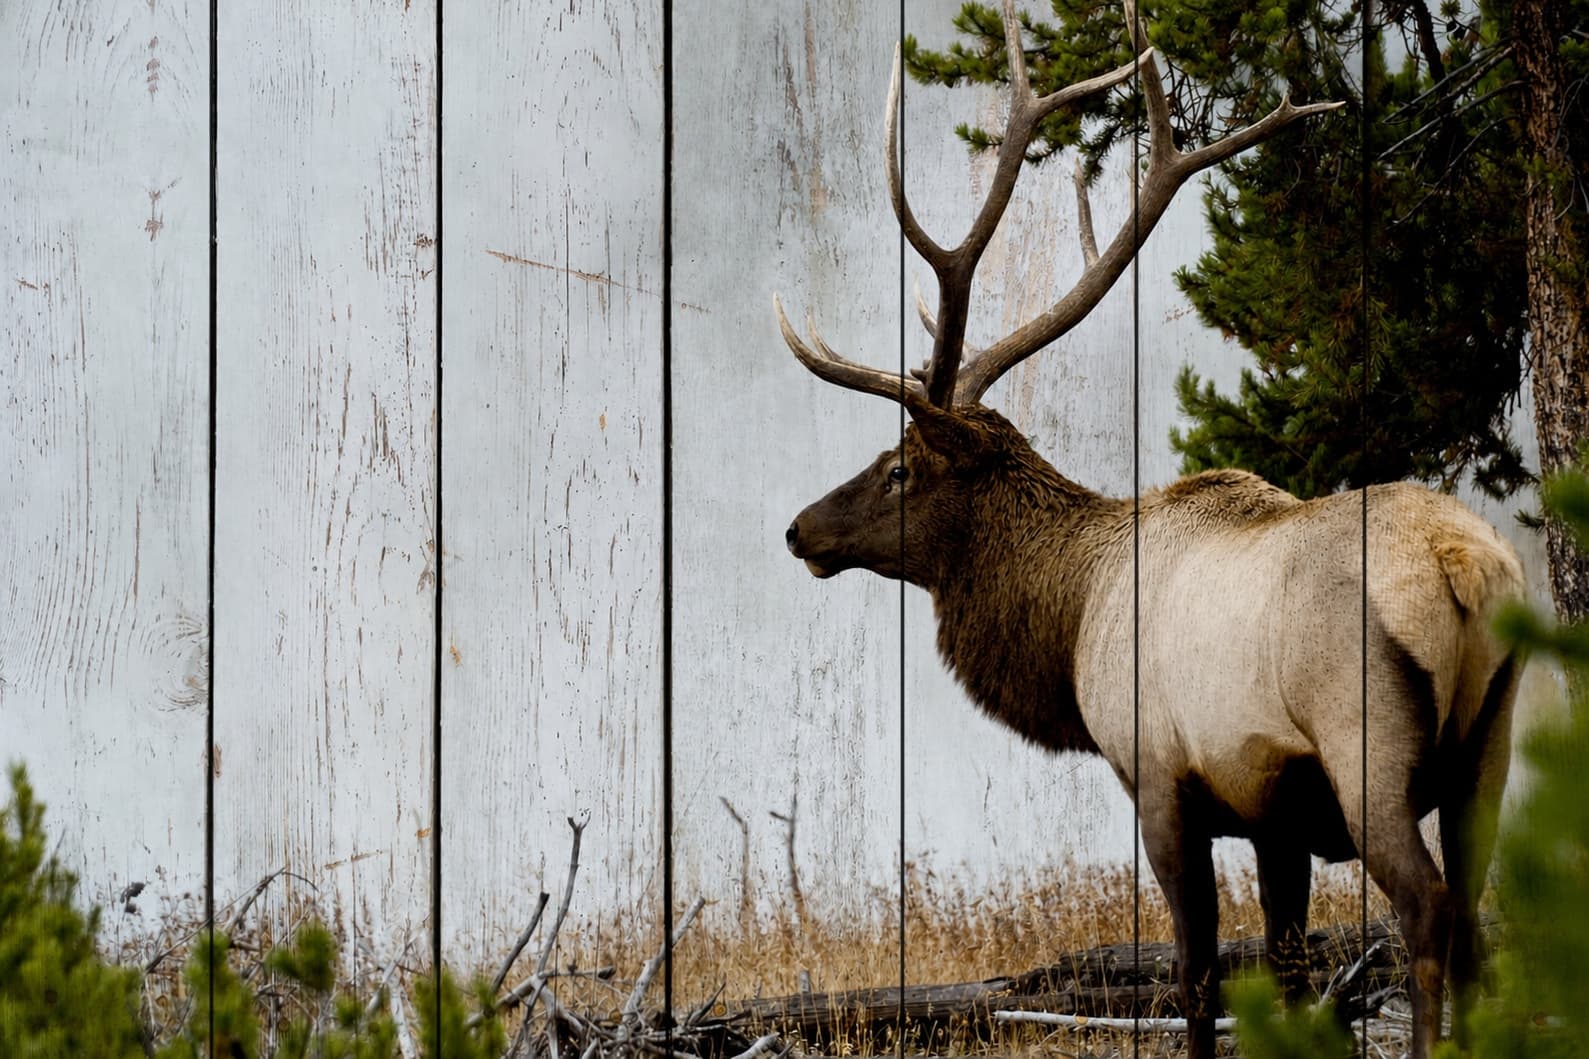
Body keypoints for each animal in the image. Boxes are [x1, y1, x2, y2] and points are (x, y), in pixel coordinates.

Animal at [775, 5, 1525, 1058]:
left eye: (899, 469)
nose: (800, 530)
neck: (1071, 618)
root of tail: (1464, 568)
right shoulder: (1271, 810)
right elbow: (1286, 967)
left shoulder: (1160, 778)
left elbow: (1195, 972)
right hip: (1487, 741)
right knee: (1478, 919)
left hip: (1366, 738)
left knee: (1424, 908)